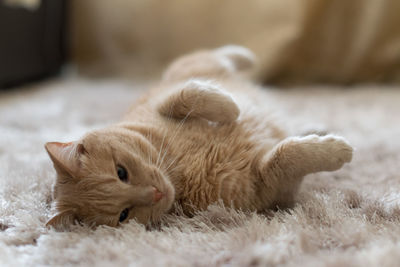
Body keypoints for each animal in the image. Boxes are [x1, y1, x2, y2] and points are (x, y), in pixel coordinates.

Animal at [45, 45, 354, 229]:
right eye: (124, 214)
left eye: (121, 172)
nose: (156, 193)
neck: (177, 167)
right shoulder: (269, 185)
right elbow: (286, 155)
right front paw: (337, 151)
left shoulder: (164, 101)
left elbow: (186, 94)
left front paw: (230, 108)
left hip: (190, 65)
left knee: (212, 57)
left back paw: (245, 57)